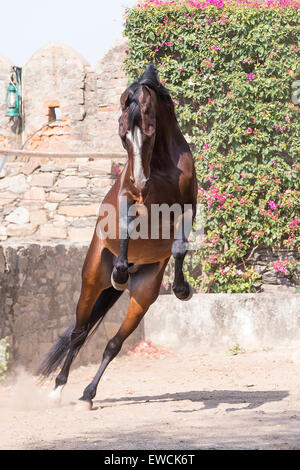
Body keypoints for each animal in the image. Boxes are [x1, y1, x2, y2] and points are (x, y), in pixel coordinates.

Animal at [38, 64, 197, 410]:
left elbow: (179, 246)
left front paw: (181, 289)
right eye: (123, 134)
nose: (140, 180)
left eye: (150, 130)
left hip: (144, 295)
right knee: (79, 333)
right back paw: (58, 389)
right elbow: (125, 225)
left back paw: (88, 394)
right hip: (91, 281)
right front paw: (121, 271)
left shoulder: (189, 205)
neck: (161, 165)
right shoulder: (128, 198)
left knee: (112, 344)